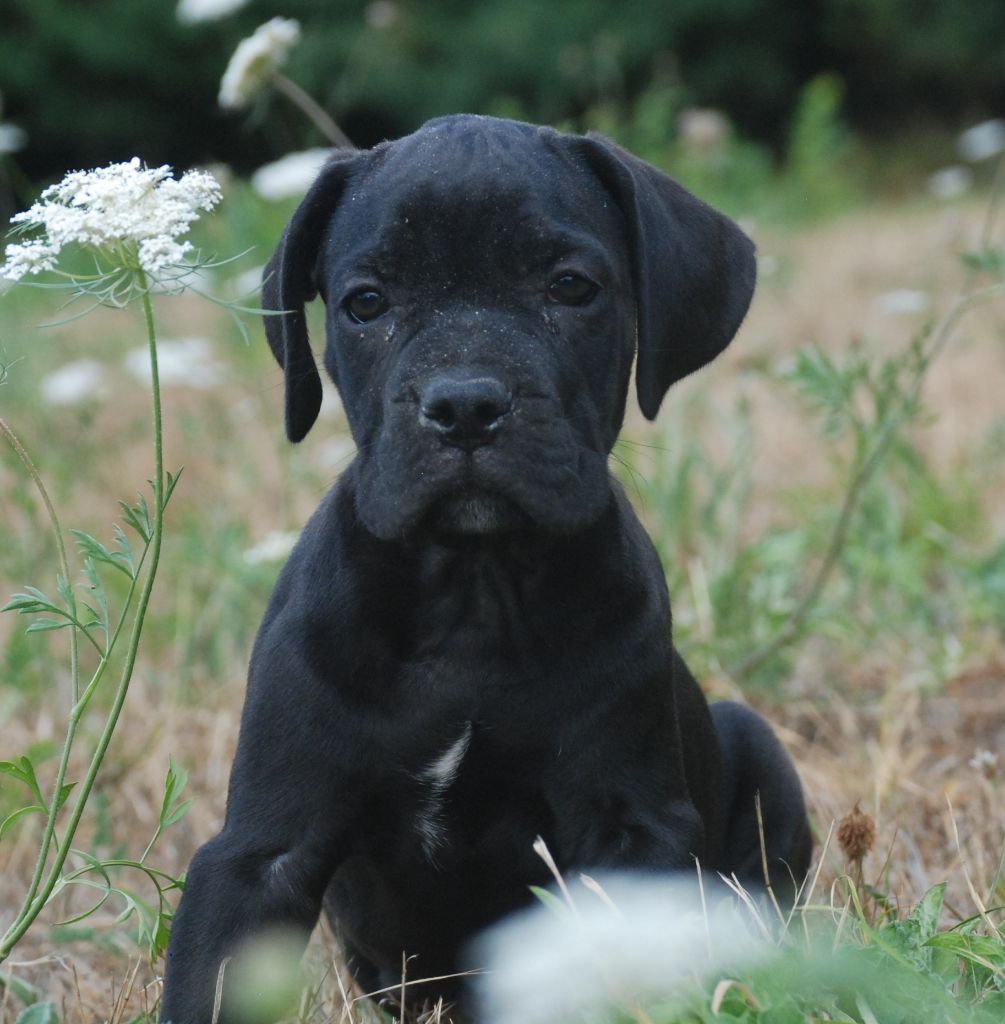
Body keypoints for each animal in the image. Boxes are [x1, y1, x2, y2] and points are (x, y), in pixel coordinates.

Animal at [160, 116, 811, 1019]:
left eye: (570, 287)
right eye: (367, 303)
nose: (465, 403)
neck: (472, 591)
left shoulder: (630, 823)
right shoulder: (259, 851)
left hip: (756, 750)